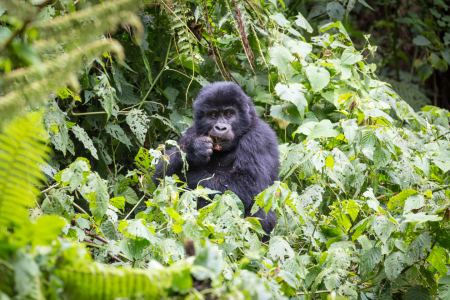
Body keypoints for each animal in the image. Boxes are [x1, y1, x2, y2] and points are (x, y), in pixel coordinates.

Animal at [156, 81, 282, 240]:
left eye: (229, 114)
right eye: (213, 115)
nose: (220, 127)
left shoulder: (258, 137)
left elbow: (247, 184)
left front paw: (189, 178)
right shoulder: (192, 131)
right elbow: (160, 174)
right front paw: (193, 150)